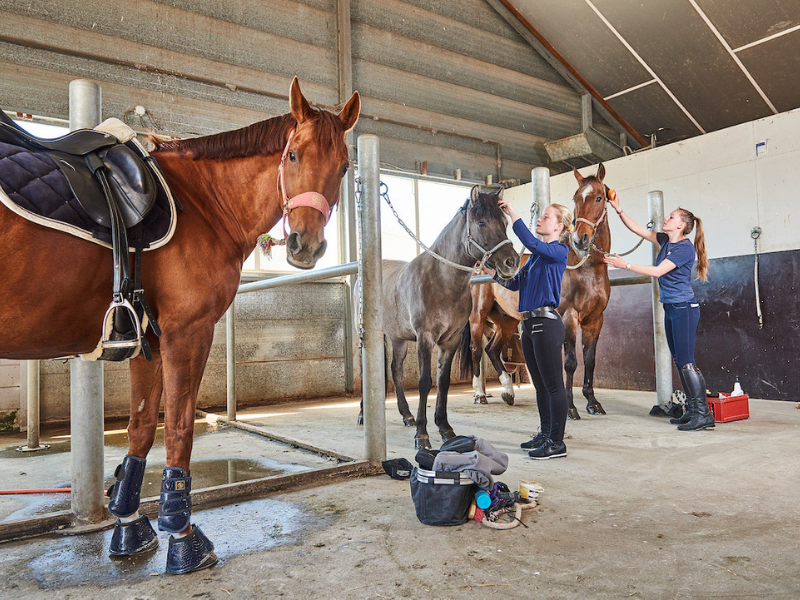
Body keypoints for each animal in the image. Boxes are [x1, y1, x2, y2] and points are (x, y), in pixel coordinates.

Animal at [0, 78, 360, 574]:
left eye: (343, 167)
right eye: (292, 155)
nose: (305, 245)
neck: (201, 203)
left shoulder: (147, 338)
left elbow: (141, 427)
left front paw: (129, 526)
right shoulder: (187, 332)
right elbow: (180, 428)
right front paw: (183, 538)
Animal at [364, 186, 519, 449]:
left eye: (505, 222)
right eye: (482, 223)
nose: (512, 262)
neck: (441, 280)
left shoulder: (450, 340)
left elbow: (443, 382)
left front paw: (445, 429)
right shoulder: (425, 338)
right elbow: (425, 382)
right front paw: (422, 435)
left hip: (398, 338)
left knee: (396, 370)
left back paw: (406, 415)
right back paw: (363, 415)